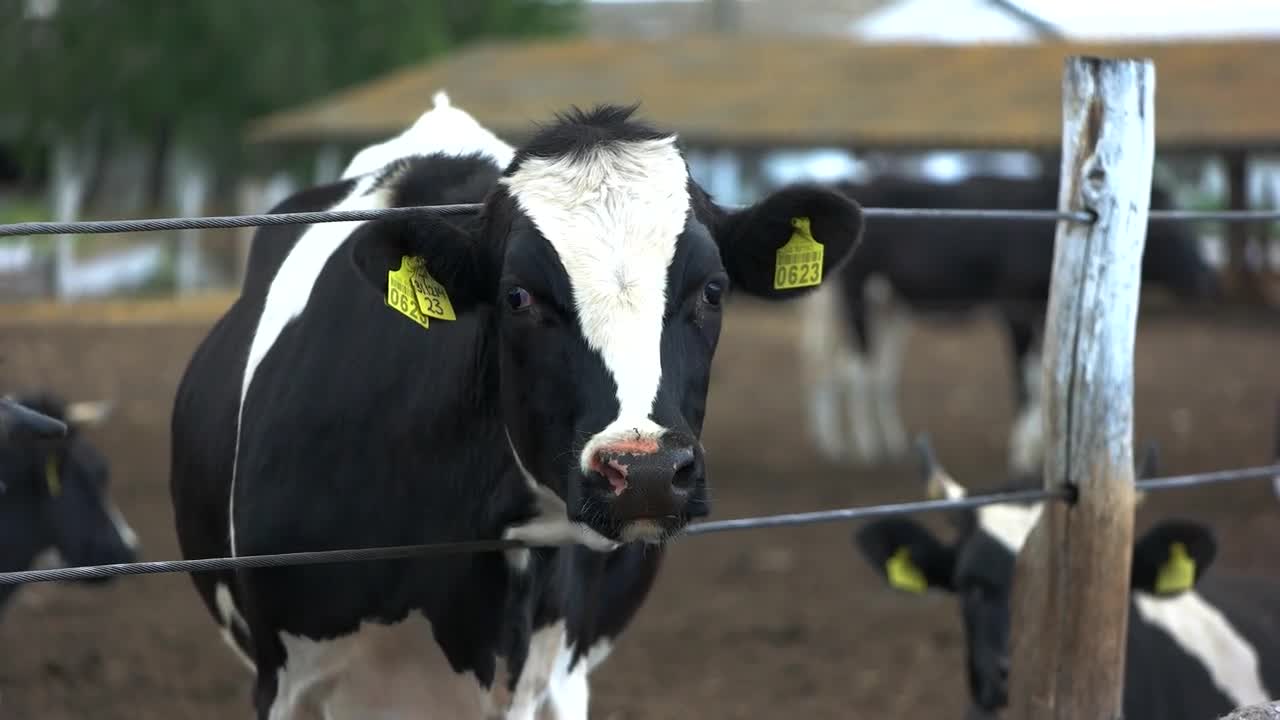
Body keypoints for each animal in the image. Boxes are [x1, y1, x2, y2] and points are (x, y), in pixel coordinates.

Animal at [798, 167, 1218, 471]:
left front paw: (1042, 448)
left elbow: (1042, 374)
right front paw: (1023, 451)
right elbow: (1024, 379)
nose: (1208, 277)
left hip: (887, 305)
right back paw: (864, 447)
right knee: (856, 369)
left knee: (869, 371)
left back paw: (874, 442)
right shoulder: (1014, 308)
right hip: (857, 297)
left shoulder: (1041, 309)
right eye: (1167, 226)